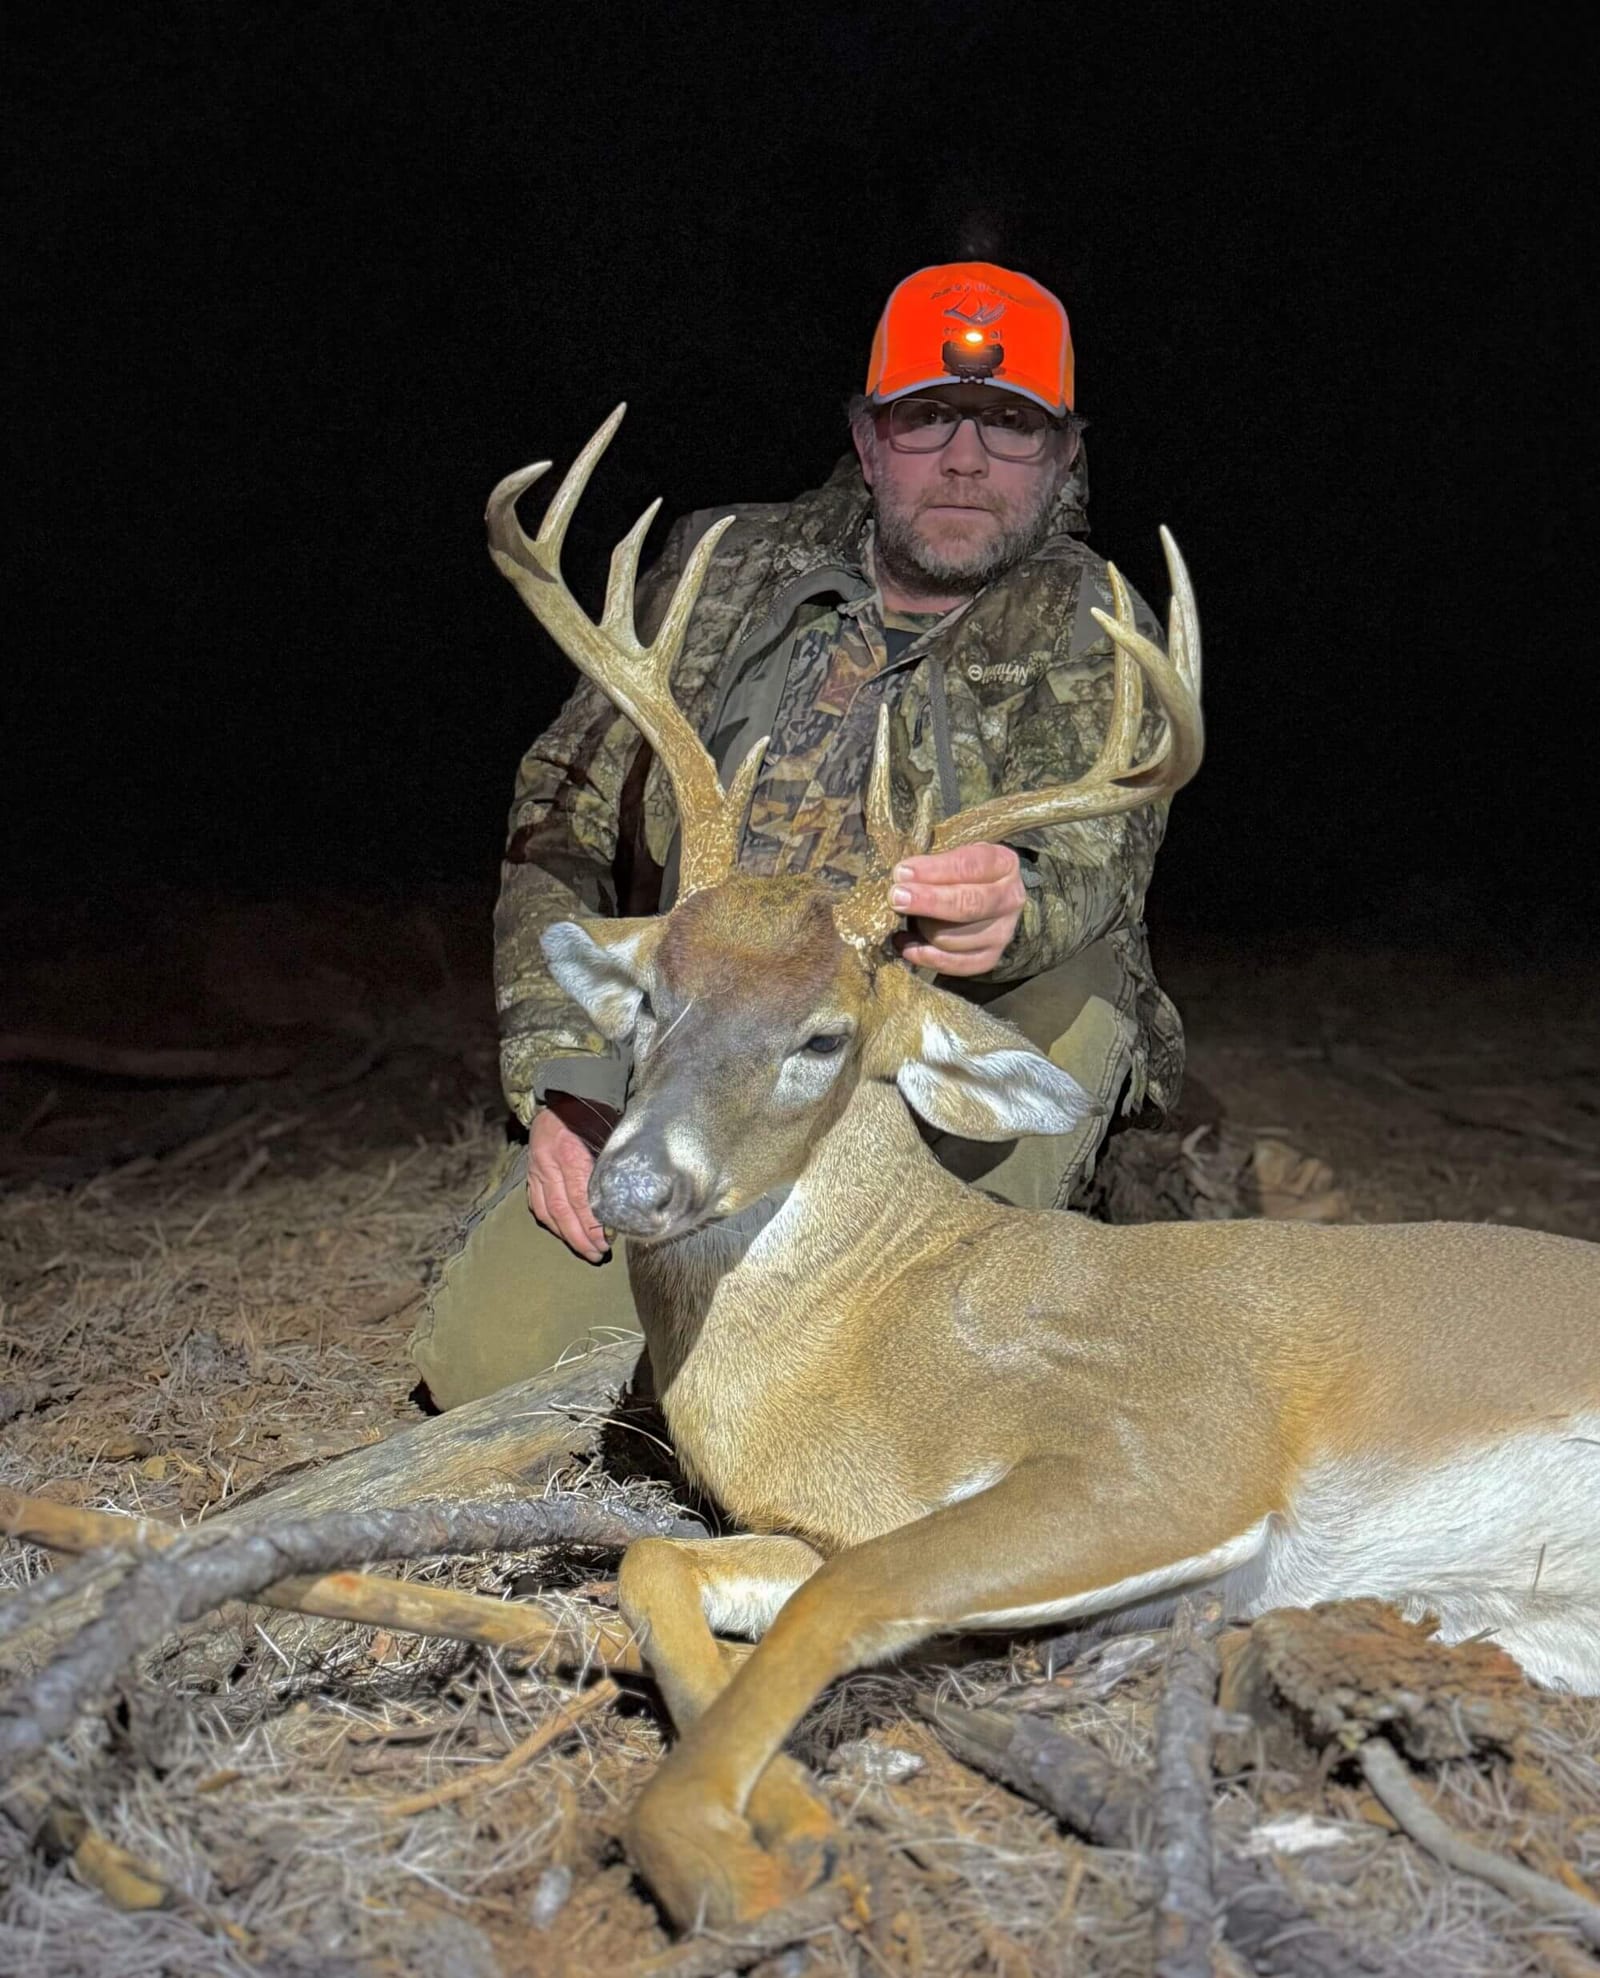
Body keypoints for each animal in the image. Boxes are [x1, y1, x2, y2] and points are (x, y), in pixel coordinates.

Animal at [486, 408, 1600, 1931]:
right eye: (651, 995)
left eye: (823, 1034)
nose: (633, 1186)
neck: (876, 1333)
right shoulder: (813, 1519)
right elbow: (663, 1558)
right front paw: (787, 1805)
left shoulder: (1174, 1441)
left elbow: (848, 1603)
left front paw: (732, 1849)